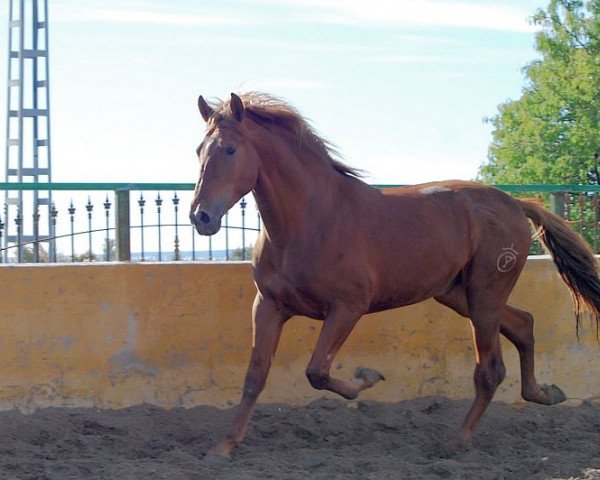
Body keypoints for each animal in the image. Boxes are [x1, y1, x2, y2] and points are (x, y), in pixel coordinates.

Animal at [190, 93, 600, 458]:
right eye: (199, 150)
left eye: (230, 150)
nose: (200, 217)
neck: (310, 221)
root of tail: (515, 203)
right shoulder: (269, 305)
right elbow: (255, 376)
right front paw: (223, 447)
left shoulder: (348, 307)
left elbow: (317, 370)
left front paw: (367, 378)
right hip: (460, 295)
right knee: (524, 324)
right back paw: (545, 393)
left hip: (485, 295)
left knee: (491, 370)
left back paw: (458, 441)